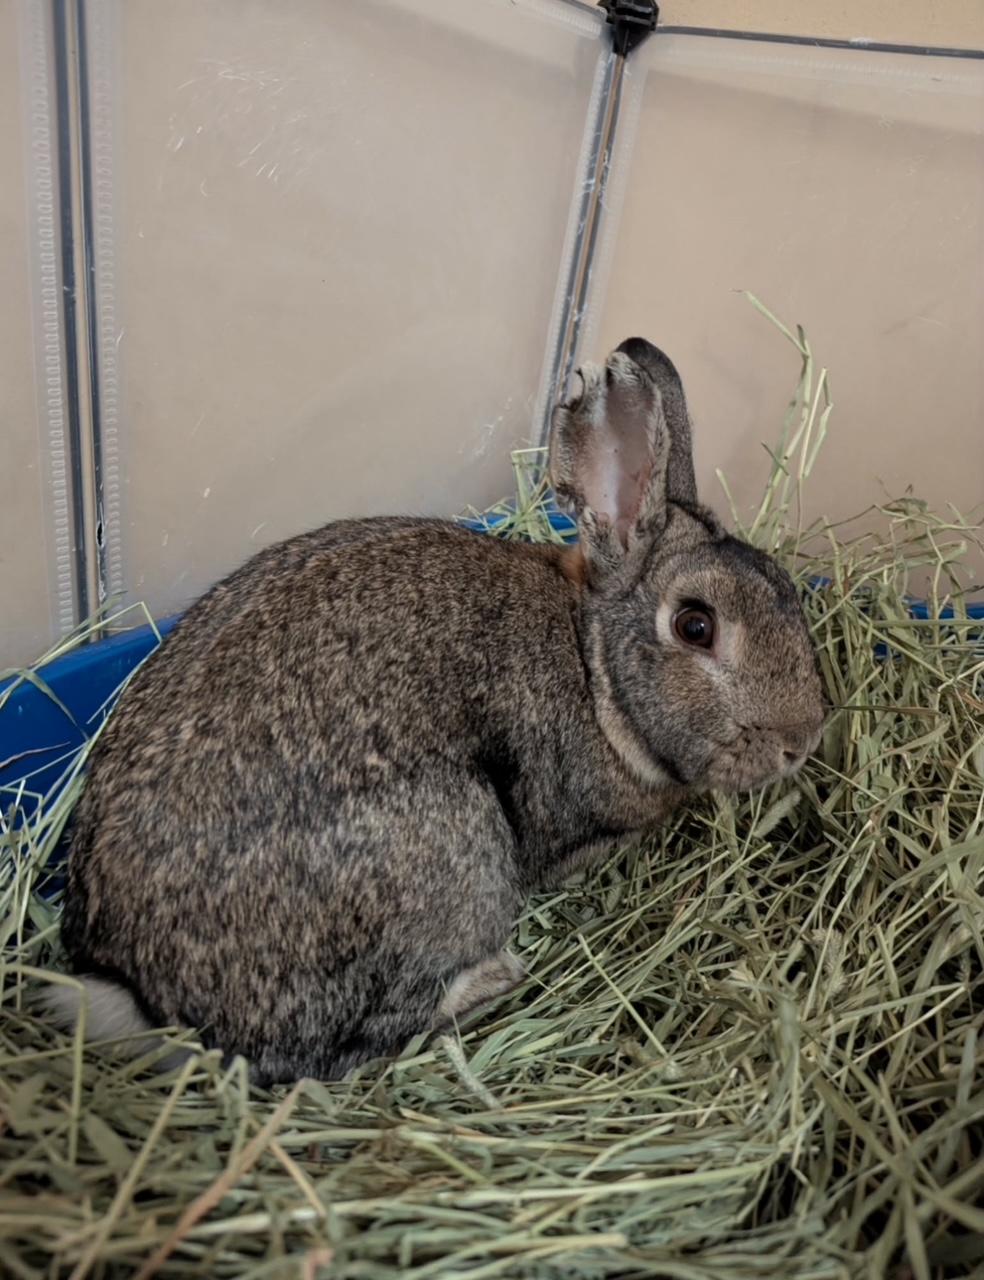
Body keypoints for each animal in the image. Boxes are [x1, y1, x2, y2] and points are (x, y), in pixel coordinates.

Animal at [45, 338, 825, 1085]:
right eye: (695, 625)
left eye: (787, 590)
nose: (802, 741)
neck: (593, 666)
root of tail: (145, 997)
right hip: (457, 852)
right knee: (339, 1049)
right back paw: (494, 979)